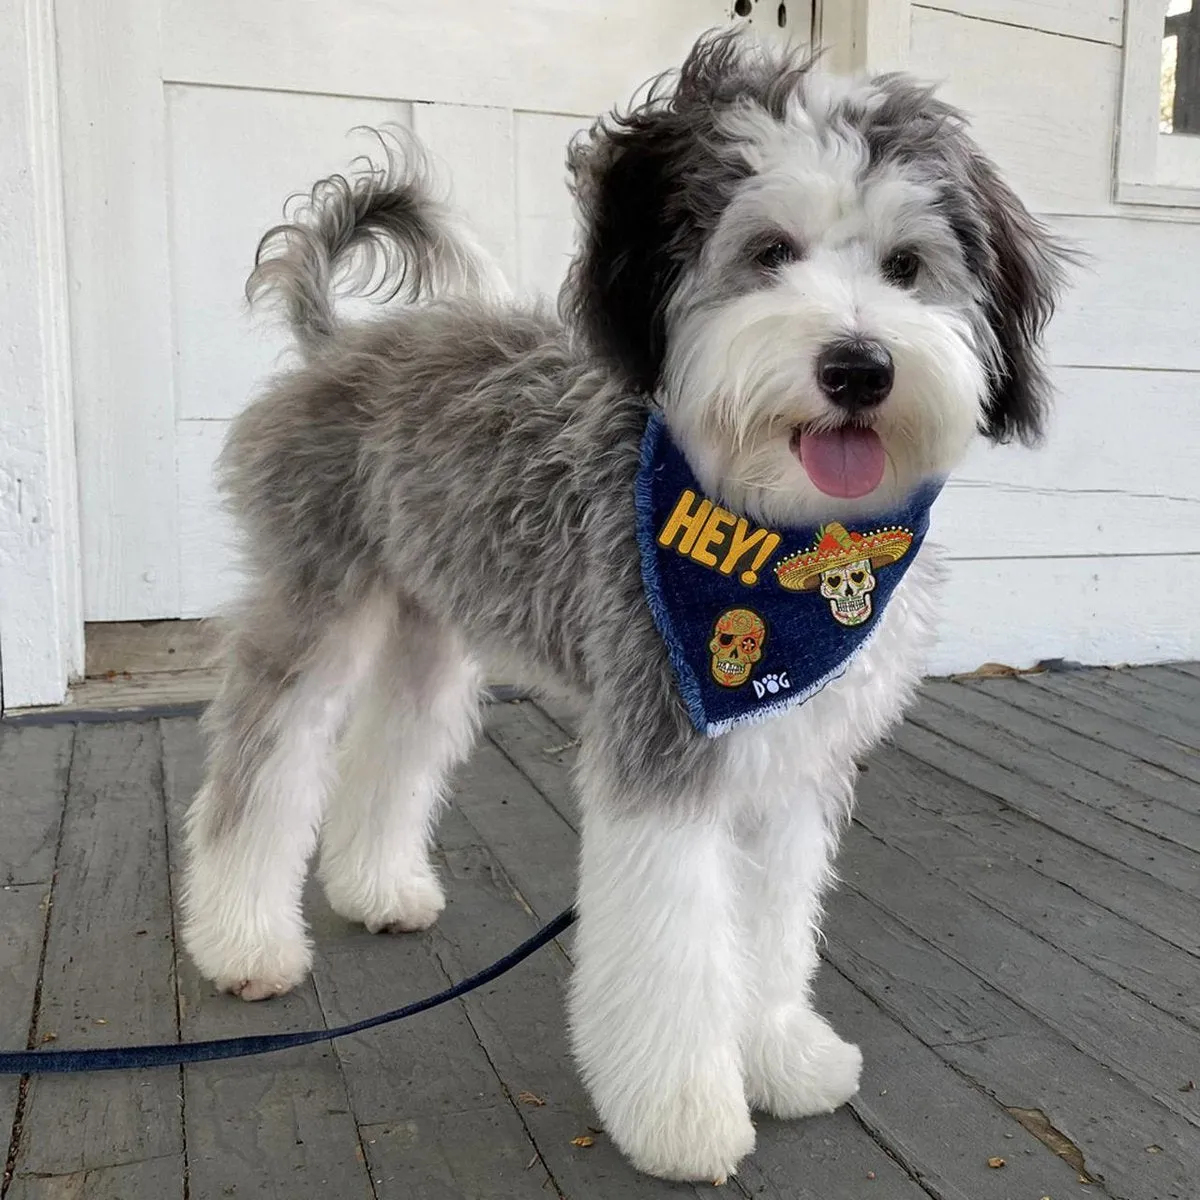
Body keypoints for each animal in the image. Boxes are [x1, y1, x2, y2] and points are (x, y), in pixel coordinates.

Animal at [184, 25, 1070, 1180]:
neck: (778, 542)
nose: (859, 367)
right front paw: (684, 1116)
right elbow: (673, 947)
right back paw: (241, 942)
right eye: (770, 251)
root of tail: (340, 340)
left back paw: (379, 891)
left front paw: (780, 1057)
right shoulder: (668, 743)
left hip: (433, 628)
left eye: (908, 267)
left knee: (394, 748)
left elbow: (770, 926)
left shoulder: (787, 758)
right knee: (262, 763)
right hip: (314, 603)